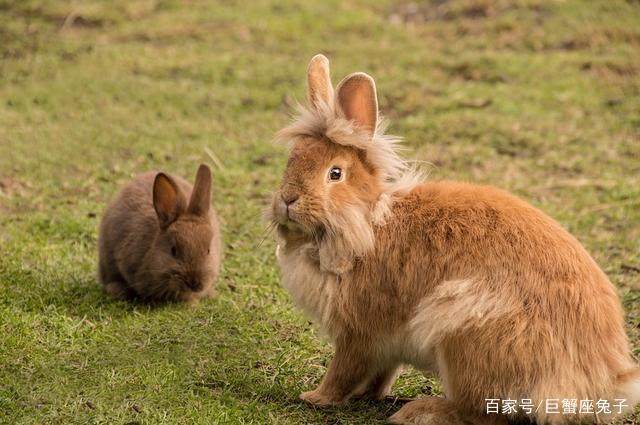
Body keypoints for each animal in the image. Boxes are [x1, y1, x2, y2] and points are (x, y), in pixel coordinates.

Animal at [268, 53, 636, 424]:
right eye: (292, 159)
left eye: (335, 173)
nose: (287, 199)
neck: (368, 222)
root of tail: (599, 384)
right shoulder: (385, 346)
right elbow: (380, 373)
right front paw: (367, 395)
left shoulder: (359, 332)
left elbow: (344, 370)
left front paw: (316, 398)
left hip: (462, 331)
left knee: (480, 413)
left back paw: (420, 411)